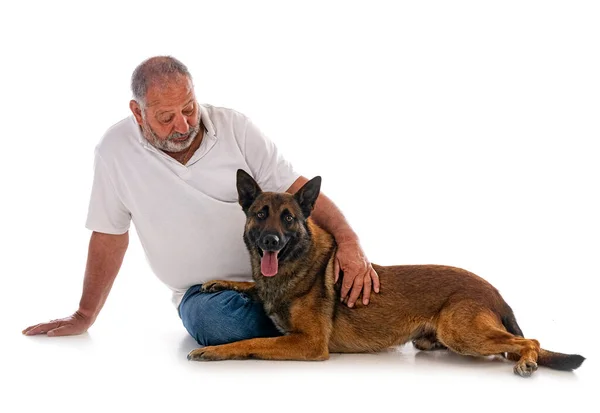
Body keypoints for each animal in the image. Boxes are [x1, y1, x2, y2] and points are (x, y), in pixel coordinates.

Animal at [185, 168, 584, 376]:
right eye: (260, 213)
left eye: (288, 219)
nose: (271, 241)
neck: (294, 265)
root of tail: (494, 291)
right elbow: (250, 285)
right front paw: (220, 282)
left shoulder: (309, 343)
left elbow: (251, 342)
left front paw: (215, 351)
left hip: (461, 332)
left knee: (530, 342)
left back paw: (528, 360)